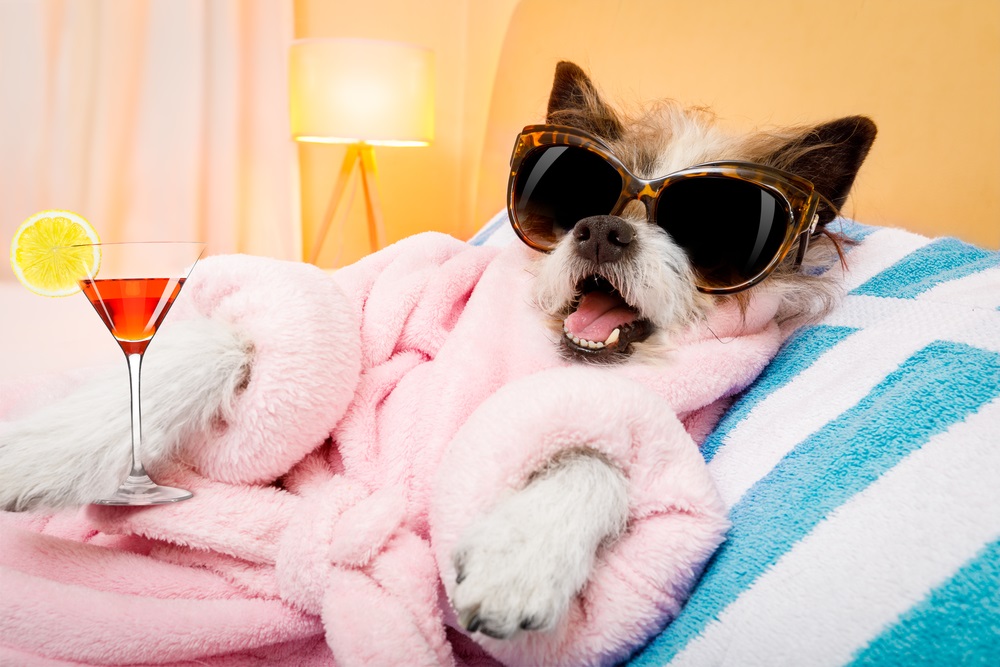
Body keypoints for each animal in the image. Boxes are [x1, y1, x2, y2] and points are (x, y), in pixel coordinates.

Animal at [0, 60, 876, 664]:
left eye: (714, 224)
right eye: (574, 185)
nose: (599, 229)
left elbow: (598, 455)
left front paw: (524, 555)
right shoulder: (351, 326)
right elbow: (233, 339)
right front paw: (48, 452)